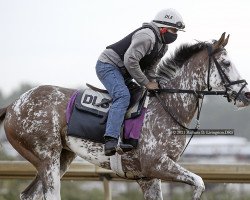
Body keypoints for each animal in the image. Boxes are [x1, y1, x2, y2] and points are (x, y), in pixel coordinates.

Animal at [0, 32, 249, 199]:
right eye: (227, 63)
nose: (246, 94)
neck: (168, 105)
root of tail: (13, 105)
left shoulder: (148, 178)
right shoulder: (155, 165)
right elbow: (199, 182)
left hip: (62, 157)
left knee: (29, 194)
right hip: (47, 157)